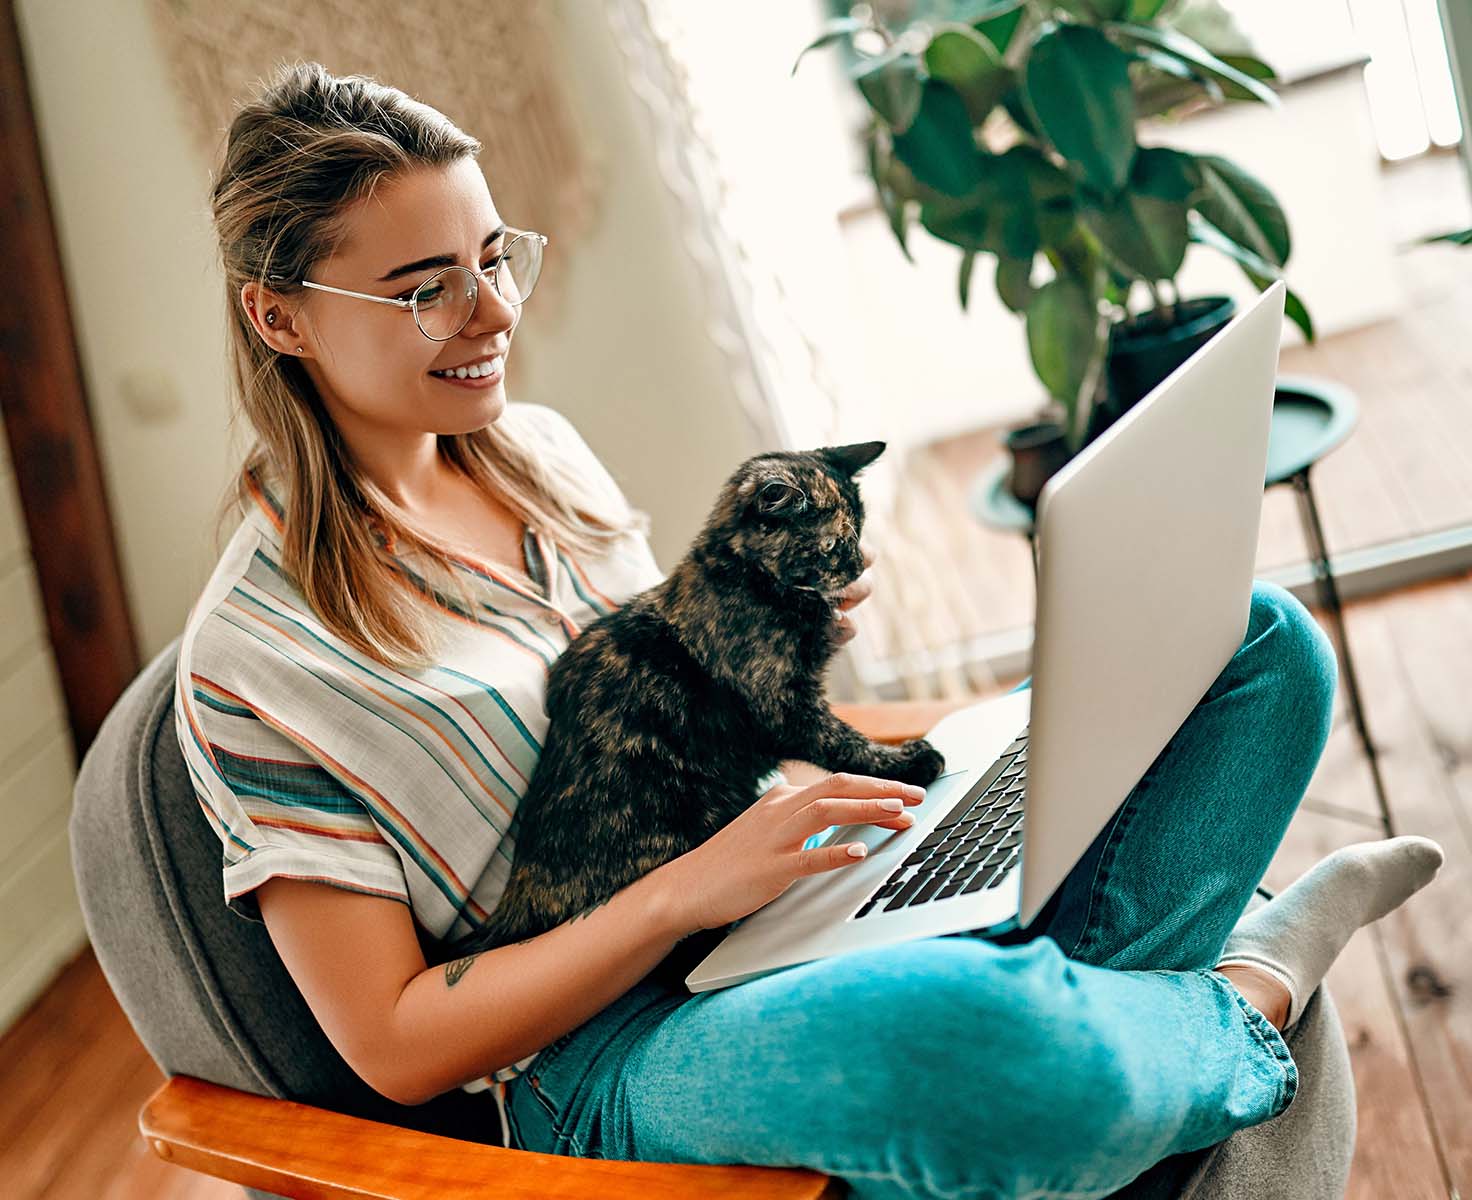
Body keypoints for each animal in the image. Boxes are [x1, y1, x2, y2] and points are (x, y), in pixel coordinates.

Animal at [441, 441, 942, 977]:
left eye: (859, 532)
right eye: (831, 545)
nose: (857, 565)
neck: (742, 578)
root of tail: (519, 893)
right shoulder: (782, 705)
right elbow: (843, 742)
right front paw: (908, 763)